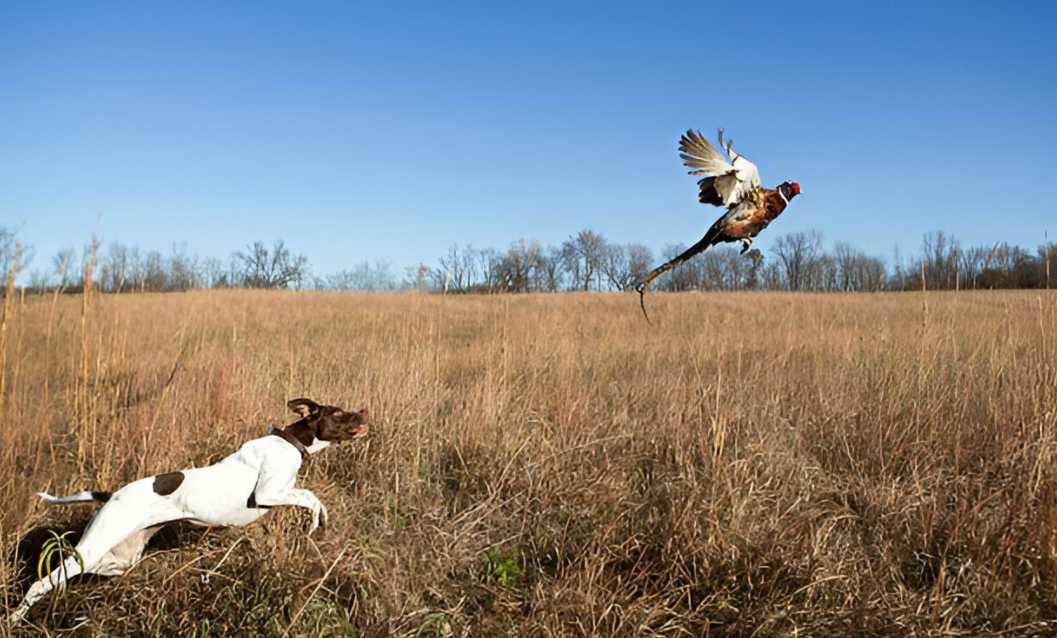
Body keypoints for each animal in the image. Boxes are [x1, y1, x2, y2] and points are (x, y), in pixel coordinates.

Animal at [8, 397, 367, 625]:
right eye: (338, 413)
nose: (363, 412)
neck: (291, 441)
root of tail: (113, 494)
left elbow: (310, 497)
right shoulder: (267, 494)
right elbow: (310, 496)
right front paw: (317, 521)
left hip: (120, 557)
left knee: (75, 574)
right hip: (96, 543)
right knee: (42, 582)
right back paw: (14, 618)